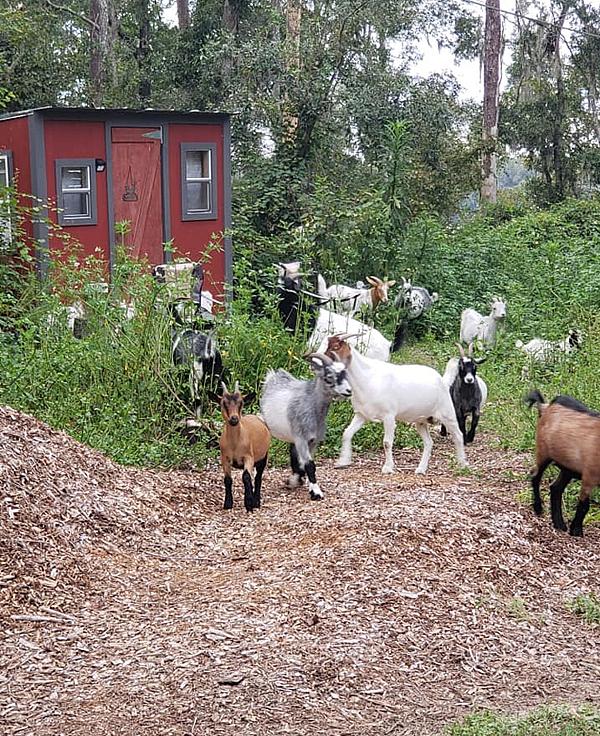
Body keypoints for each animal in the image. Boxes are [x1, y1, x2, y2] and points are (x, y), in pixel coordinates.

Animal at [218, 381, 270, 513]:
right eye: (223, 403)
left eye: (241, 403)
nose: (234, 419)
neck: (235, 444)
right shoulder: (225, 458)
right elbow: (228, 479)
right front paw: (228, 504)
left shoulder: (248, 457)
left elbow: (246, 477)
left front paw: (249, 504)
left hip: (263, 456)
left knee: (257, 477)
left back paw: (256, 502)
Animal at [260, 353, 352, 501]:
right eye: (328, 377)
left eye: (345, 374)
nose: (349, 391)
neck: (311, 406)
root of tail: (273, 376)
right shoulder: (301, 438)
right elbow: (310, 465)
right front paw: (316, 492)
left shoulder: (313, 441)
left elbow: (305, 464)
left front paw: (299, 480)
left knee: (292, 452)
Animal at [325, 335, 466, 475]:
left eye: (336, 347)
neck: (367, 378)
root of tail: (442, 381)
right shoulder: (361, 415)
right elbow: (347, 433)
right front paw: (343, 461)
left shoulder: (389, 416)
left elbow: (387, 442)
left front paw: (387, 467)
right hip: (421, 420)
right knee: (429, 442)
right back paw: (421, 469)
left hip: (447, 413)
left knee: (458, 435)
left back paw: (463, 464)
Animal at [527, 389, 600, 537]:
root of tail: (545, 407)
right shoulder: (590, 475)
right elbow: (584, 505)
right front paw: (576, 531)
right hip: (543, 452)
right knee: (535, 475)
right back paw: (538, 508)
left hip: (568, 467)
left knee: (555, 488)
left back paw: (559, 524)